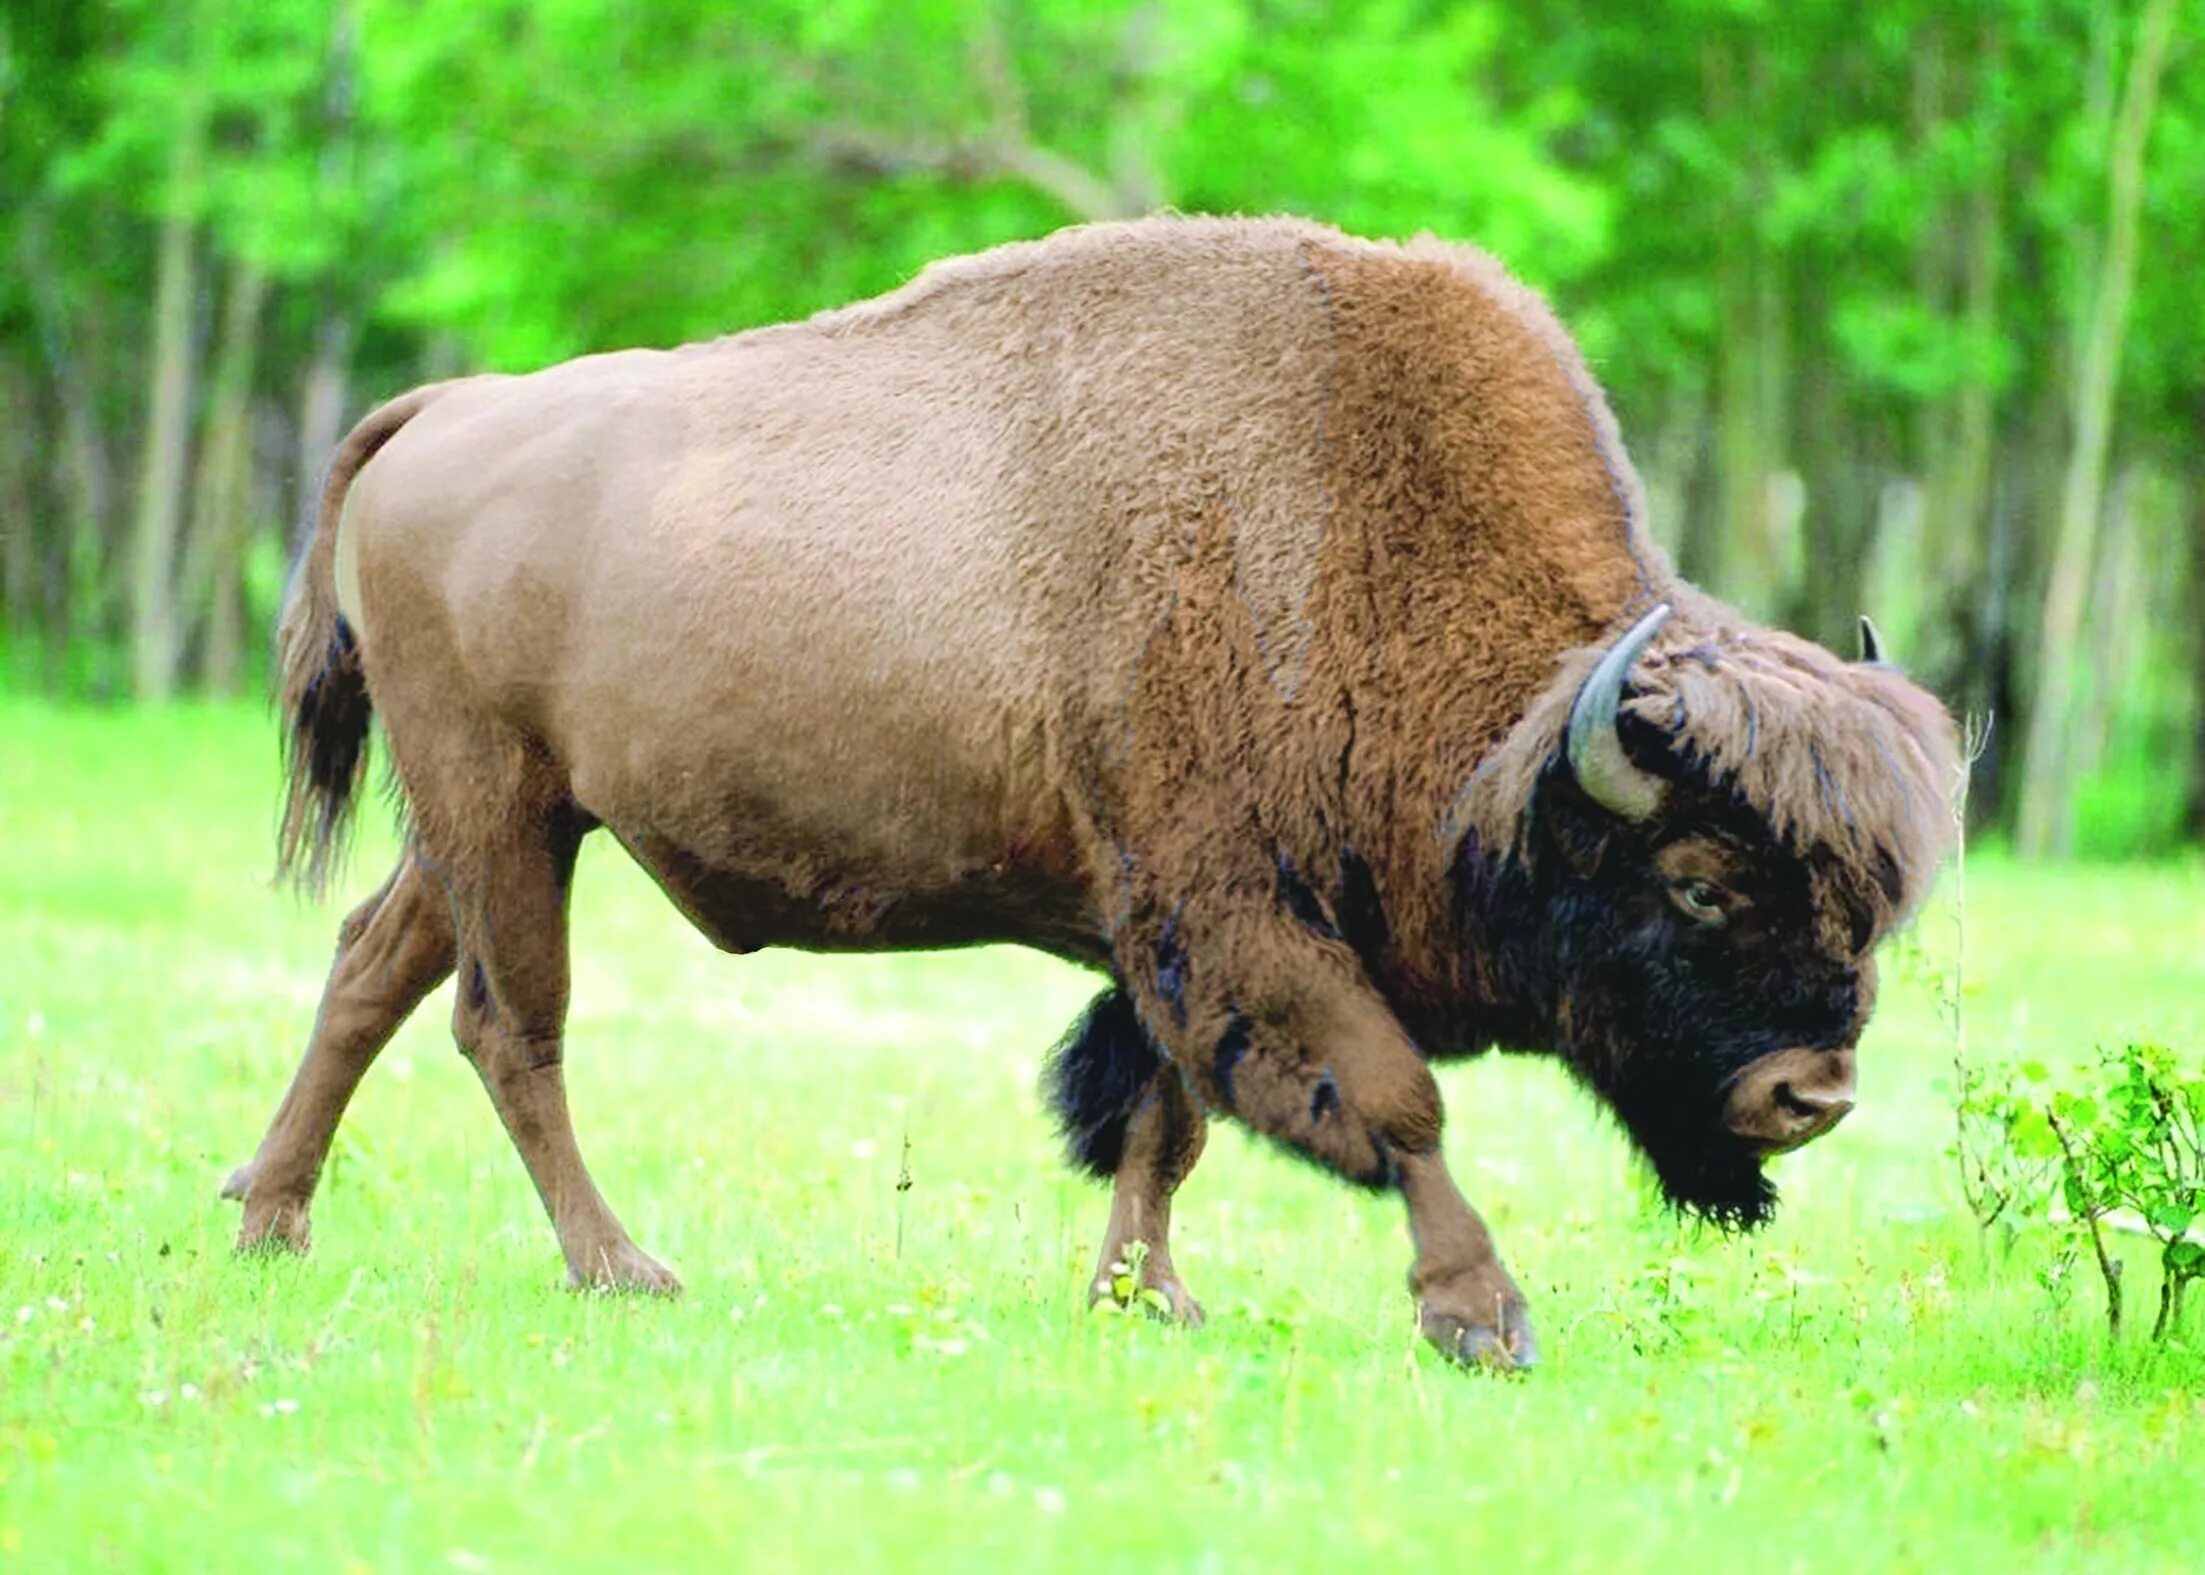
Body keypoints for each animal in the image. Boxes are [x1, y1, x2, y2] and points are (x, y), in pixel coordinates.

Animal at [219, 215, 1949, 1367]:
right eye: (1698, 881)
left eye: (1870, 899)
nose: (1812, 1093)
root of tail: (441, 410)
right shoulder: (1231, 914)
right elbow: (1390, 1098)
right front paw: (1480, 1315)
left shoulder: (1165, 927)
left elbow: (1161, 1118)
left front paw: (1147, 1295)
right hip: (502, 805)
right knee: (509, 1023)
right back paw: (618, 1265)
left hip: (498, 819)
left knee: (375, 966)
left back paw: (268, 1215)